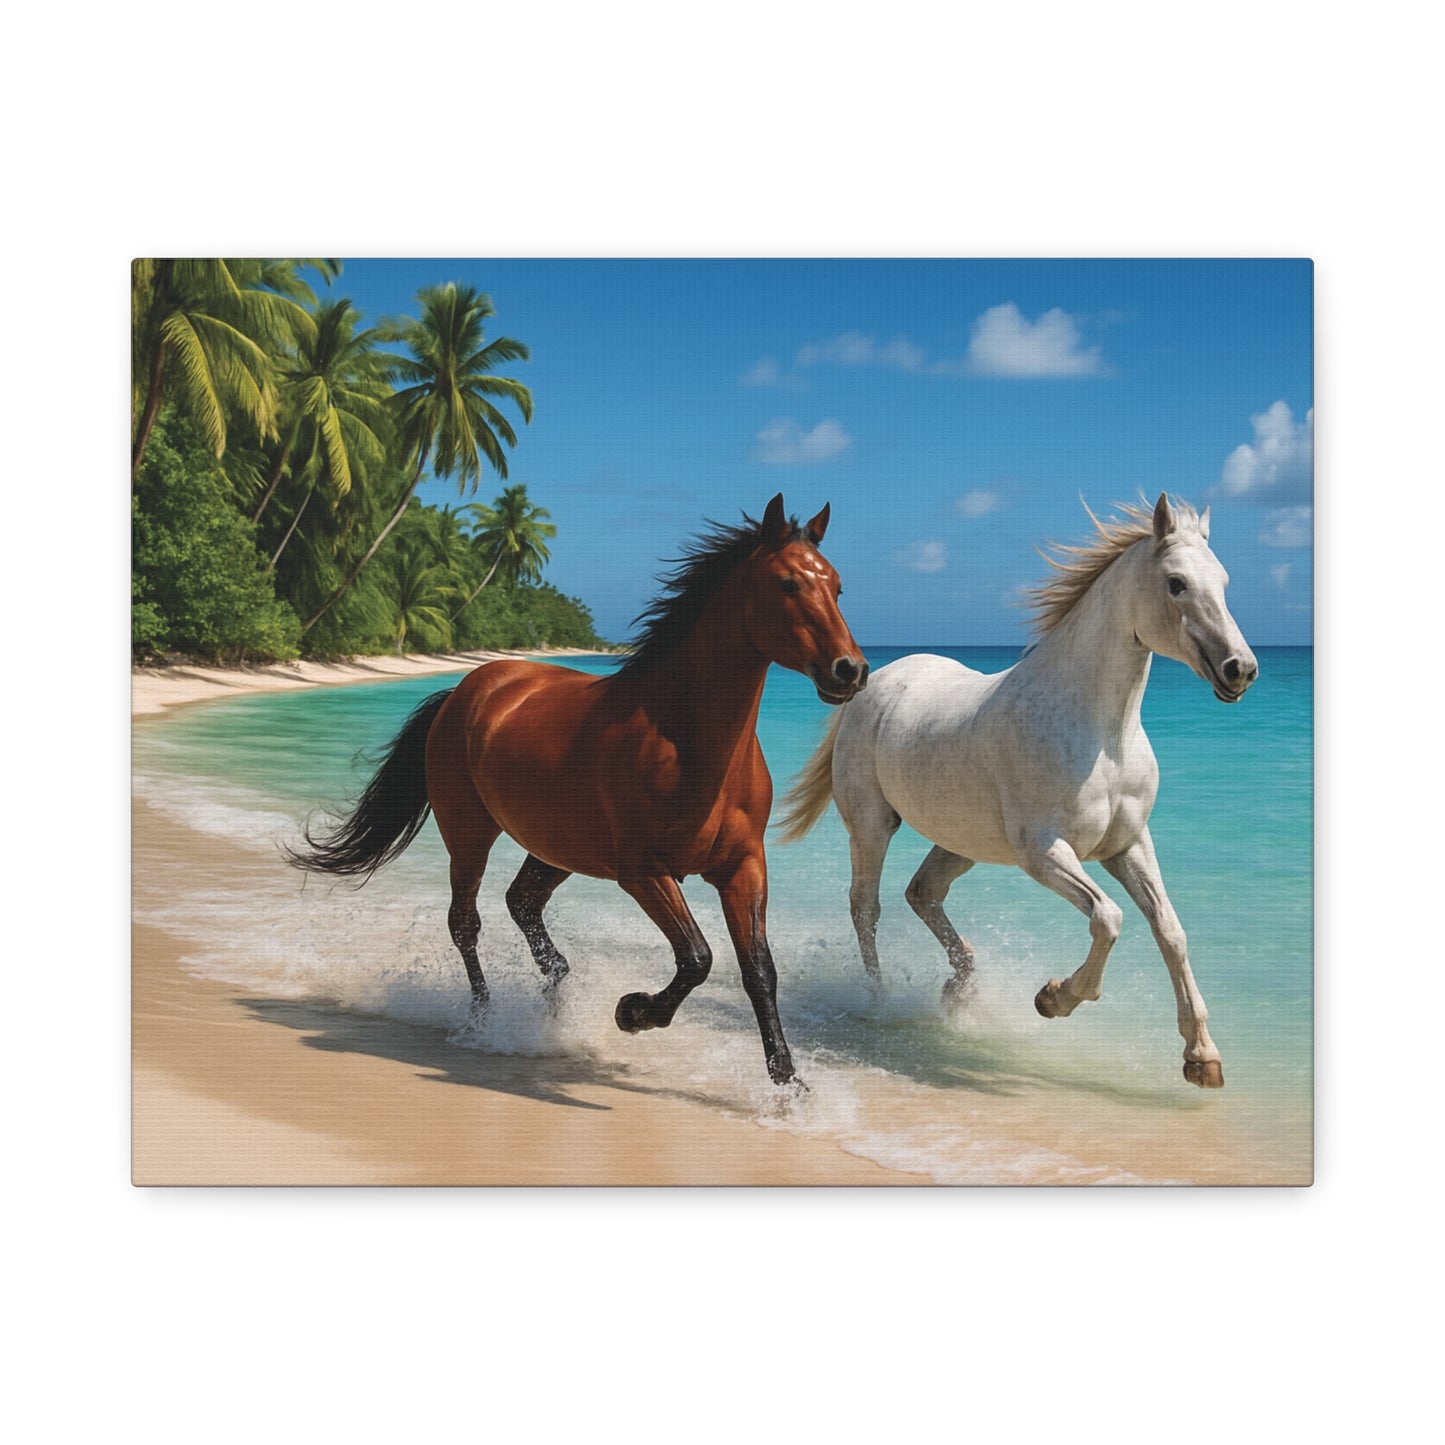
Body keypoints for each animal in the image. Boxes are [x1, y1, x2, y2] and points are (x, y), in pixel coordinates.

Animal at [289, 494, 866, 1086]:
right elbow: (697, 957)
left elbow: (759, 970)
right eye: (788, 583)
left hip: (557, 848)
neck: (682, 743)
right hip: (470, 834)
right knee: (465, 923)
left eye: (838, 586)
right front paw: (633, 1012)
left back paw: (554, 995)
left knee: (521, 903)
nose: (851, 670)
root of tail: (467, 688)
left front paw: (788, 1084)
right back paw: (482, 1022)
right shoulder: (641, 871)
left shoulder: (743, 866)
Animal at [778, 494, 1256, 1089]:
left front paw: (1202, 1056)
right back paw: (879, 1000)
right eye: (1176, 583)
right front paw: (1054, 998)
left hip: (963, 843)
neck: (1101, 735)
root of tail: (872, 680)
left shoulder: (1128, 846)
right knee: (867, 906)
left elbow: (1170, 930)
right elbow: (1109, 918)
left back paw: (959, 988)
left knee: (923, 892)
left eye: (1225, 581)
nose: (1241, 670)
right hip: (872, 826)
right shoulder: (1044, 852)